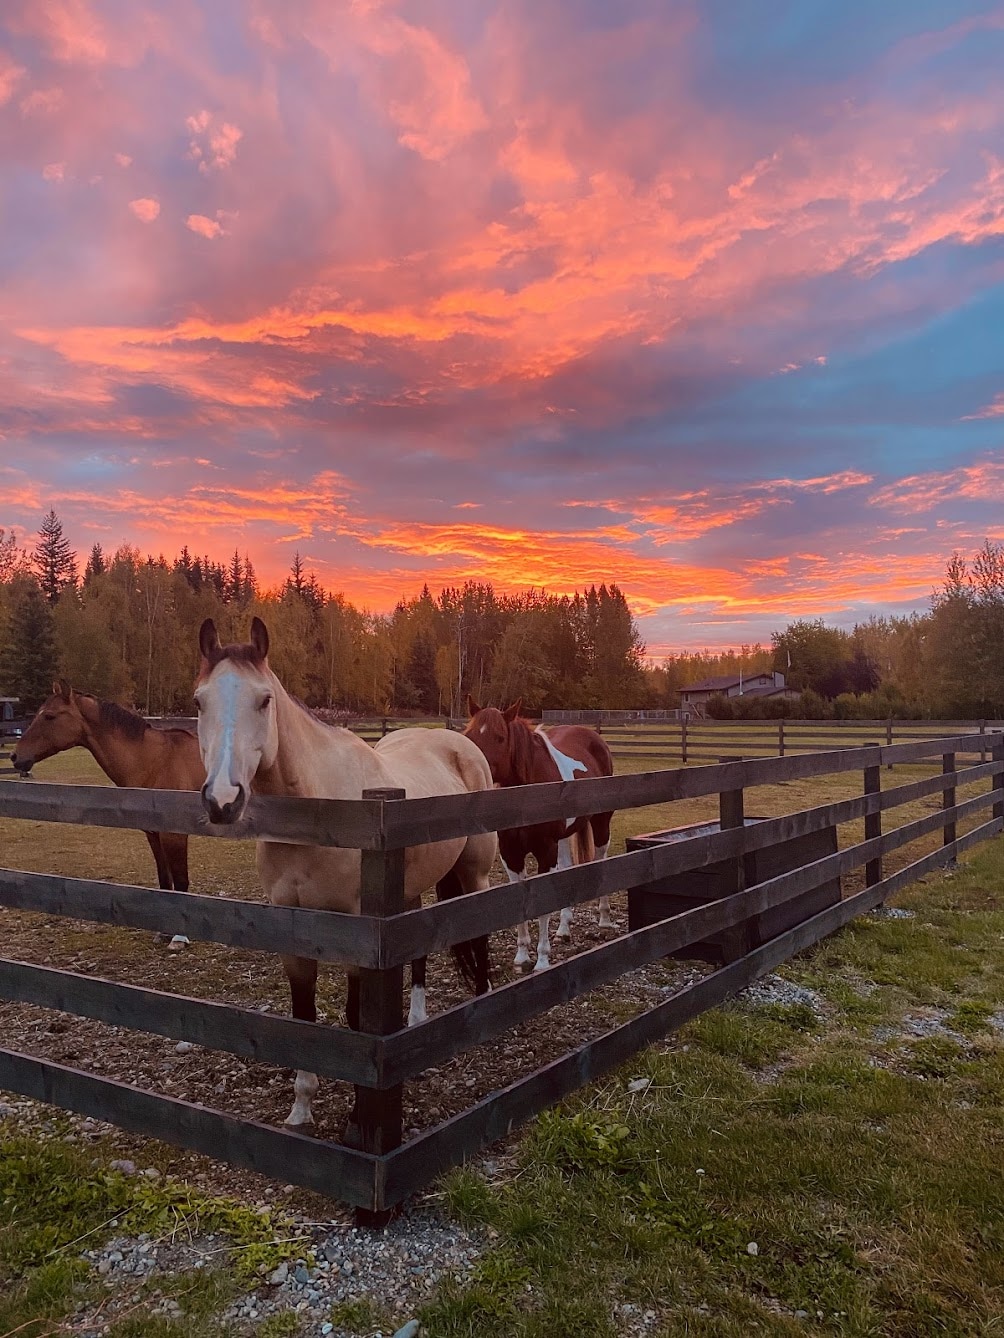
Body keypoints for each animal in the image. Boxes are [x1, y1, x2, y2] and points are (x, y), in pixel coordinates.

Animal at [10, 679, 204, 952]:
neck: (156, 762)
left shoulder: (174, 835)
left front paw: (179, 937)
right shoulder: (154, 834)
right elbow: (165, 882)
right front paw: (163, 932)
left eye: (49, 716)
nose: (16, 756)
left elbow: (181, 882)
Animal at [194, 612, 500, 1129]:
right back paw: (414, 1025)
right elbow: (305, 1019)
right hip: (408, 892)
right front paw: (301, 1108)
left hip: (474, 873)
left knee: (478, 936)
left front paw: (360, 1116)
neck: (321, 811)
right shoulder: (294, 931)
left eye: (264, 700)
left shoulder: (360, 931)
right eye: (199, 702)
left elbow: (358, 1021)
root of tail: (459, 741)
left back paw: (482, 1009)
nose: (222, 800)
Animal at [465, 701, 621, 974]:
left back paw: (604, 919)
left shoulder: (545, 851)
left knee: (602, 860)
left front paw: (542, 959)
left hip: (601, 823)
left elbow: (542, 906)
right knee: (566, 868)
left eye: (500, 737)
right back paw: (564, 929)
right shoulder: (511, 855)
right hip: (564, 838)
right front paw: (521, 957)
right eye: (470, 735)